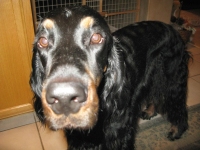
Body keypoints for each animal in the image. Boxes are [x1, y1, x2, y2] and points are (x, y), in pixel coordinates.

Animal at [30, 5, 191, 149]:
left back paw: (177, 130)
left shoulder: (120, 134)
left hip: (173, 78)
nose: (64, 100)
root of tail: (171, 28)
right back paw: (150, 111)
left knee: (178, 105)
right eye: (42, 41)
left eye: (96, 37)